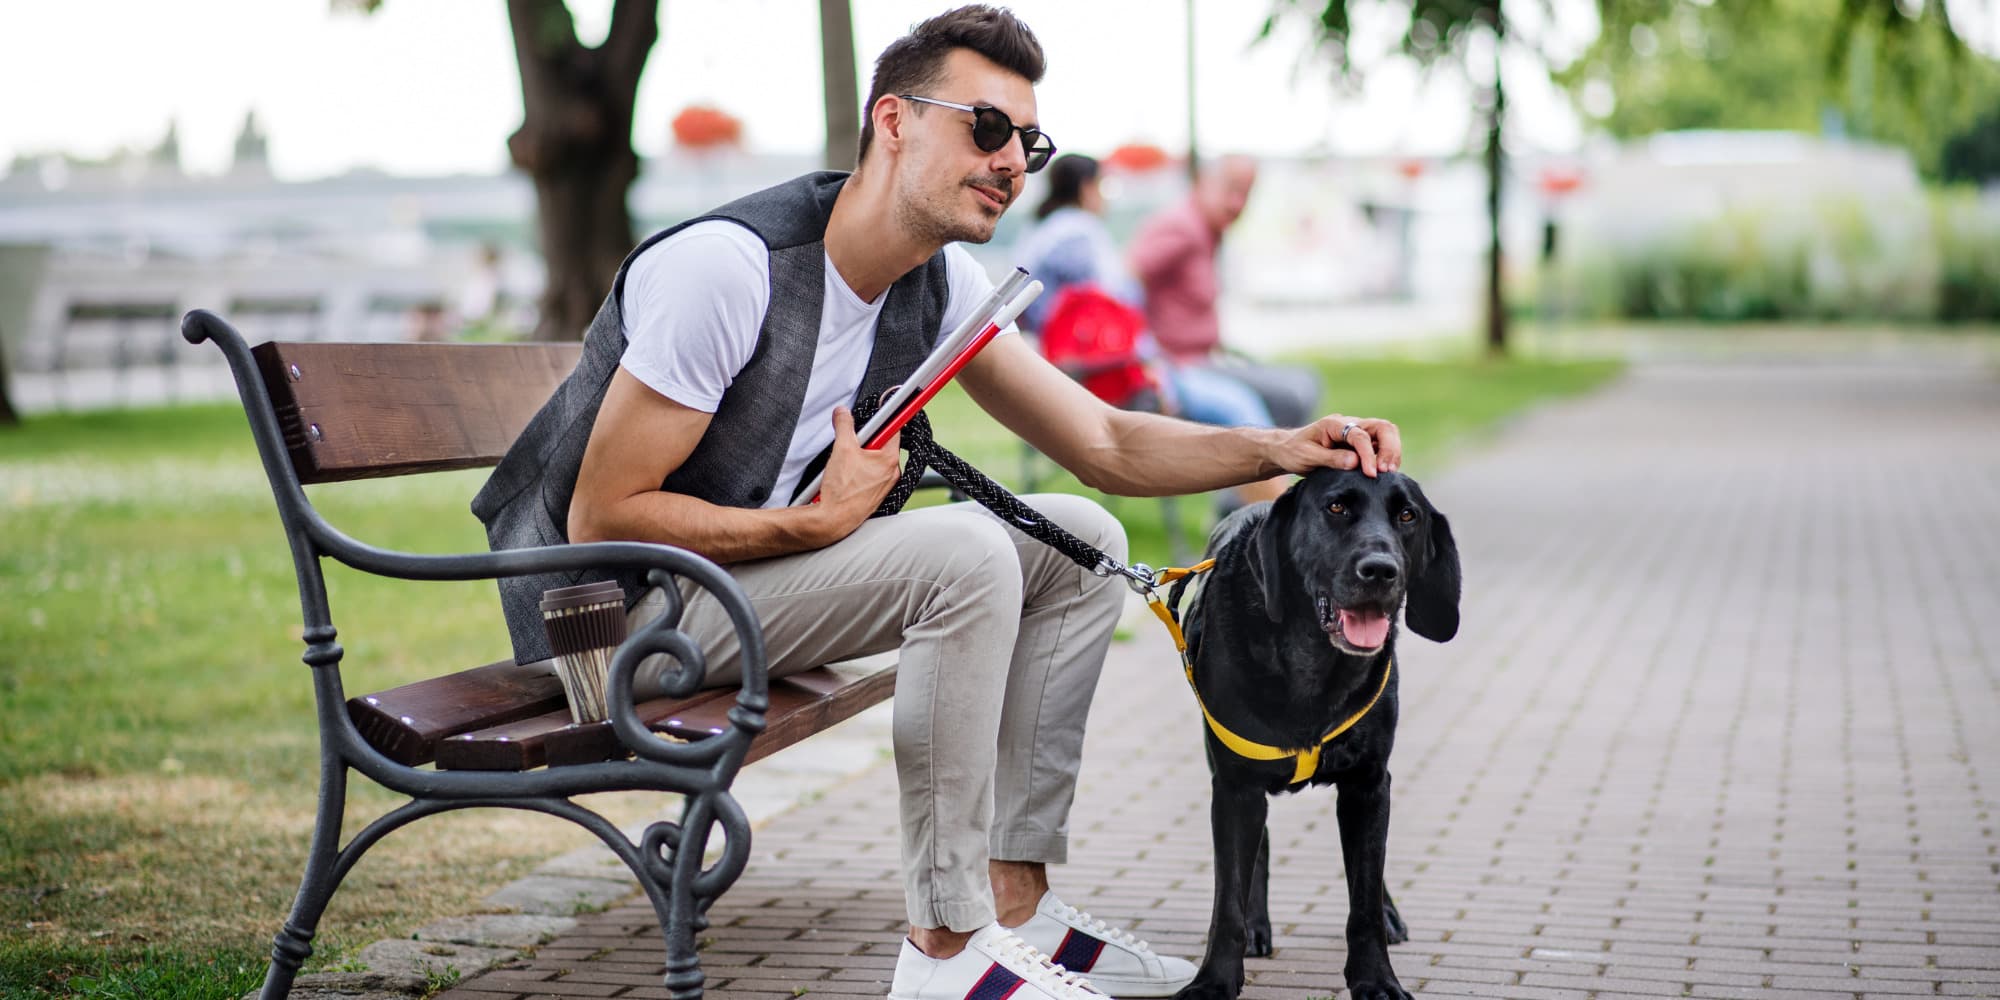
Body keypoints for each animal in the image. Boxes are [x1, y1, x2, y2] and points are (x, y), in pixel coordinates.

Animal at [1168, 468, 1456, 1000]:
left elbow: (1364, 898)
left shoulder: (1368, 784)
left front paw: (1376, 978)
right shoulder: (1235, 787)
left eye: (1408, 516)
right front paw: (1215, 980)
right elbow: (1229, 900)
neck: (1313, 663)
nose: (1380, 571)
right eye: (1336, 508)